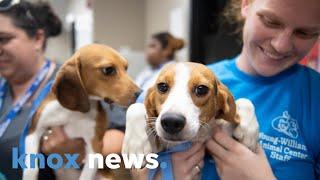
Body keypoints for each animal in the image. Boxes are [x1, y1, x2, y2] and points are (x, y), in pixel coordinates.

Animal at [23, 44, 141, 180]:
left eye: (126, 68)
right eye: (108, 70)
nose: (140, 93)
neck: (74, 112)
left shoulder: (94, 148)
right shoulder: (34, 131)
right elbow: (31, 169)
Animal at [122, 62, 260, 160]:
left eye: (201, 89)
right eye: (162, 86)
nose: (172, 122)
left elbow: (245, 100)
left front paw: (249, 131)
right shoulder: (159, 150)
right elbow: (134, 107)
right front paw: (135, 142)